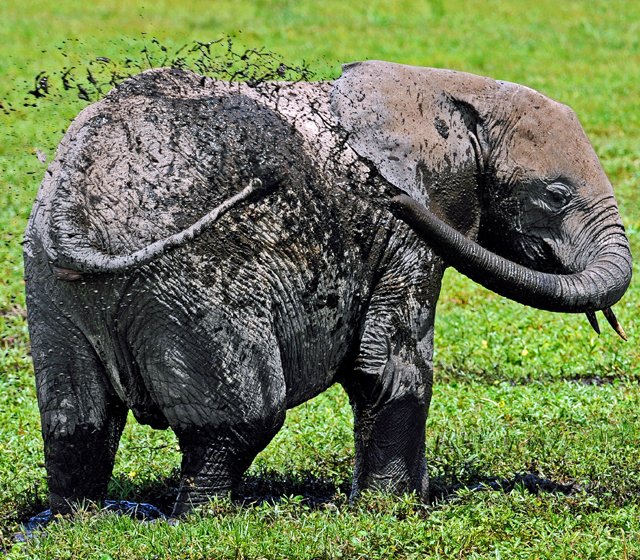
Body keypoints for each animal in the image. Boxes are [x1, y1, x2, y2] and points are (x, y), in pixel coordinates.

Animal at [23, 60, 631, 517]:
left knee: (76, 424)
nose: (394, 200)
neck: (455, 91)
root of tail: (71, 206)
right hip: (192, 283)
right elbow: (391, 367)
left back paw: (75, 522)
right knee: (242, 419)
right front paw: (396, 511)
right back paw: (206, 521)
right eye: (556, 196)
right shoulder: (410, 235)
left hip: (53, 288)